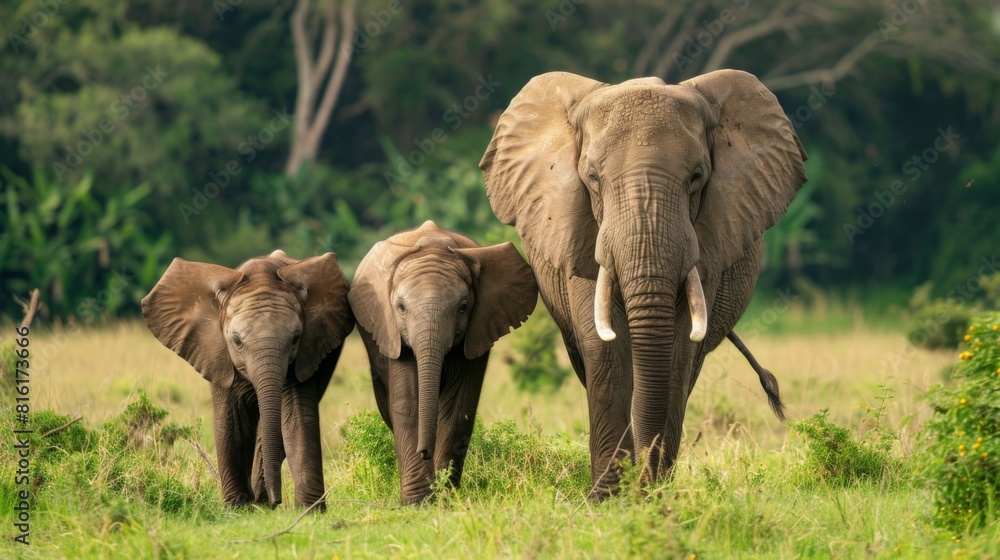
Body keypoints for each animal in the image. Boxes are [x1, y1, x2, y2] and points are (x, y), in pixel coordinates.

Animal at [143, 249, 354, 508]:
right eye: (236, 341)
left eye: (295, 338)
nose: (277, 502)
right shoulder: (216, 354)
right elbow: (231, 421)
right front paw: (237, 507)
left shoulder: (306, 352)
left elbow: (296, 417)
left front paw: (310, 510)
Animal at [352, 221, 540, 506]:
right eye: (400, 307)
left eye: (463, 307)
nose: (424, 452)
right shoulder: (392, 332)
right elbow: (408, 403)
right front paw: (419, 502)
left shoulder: (478, 330)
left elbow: (458, 406)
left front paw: (444, 495)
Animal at [480, 69, 808, 498]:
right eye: (592, 178)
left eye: (697, 177)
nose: (642, 483)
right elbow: (605, 346)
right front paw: (605, 498)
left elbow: (678, 347)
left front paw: (651, 495)